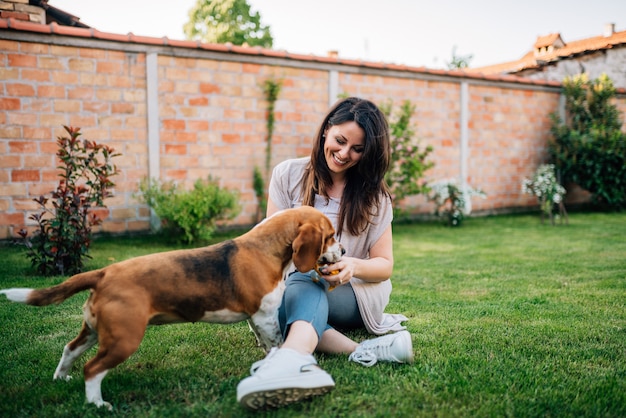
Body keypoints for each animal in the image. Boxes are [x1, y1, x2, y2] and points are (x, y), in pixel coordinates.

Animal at [0, 206, 342, 408]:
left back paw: (61, 379)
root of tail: (105, 272)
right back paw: (97, 405)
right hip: (124, 339)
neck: (267, 247)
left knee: (70, 349)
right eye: (330, 236)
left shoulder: (257, 319)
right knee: (92, 369)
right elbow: (276, 344)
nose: (342, 250)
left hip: (95, 332)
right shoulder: (265, 316)